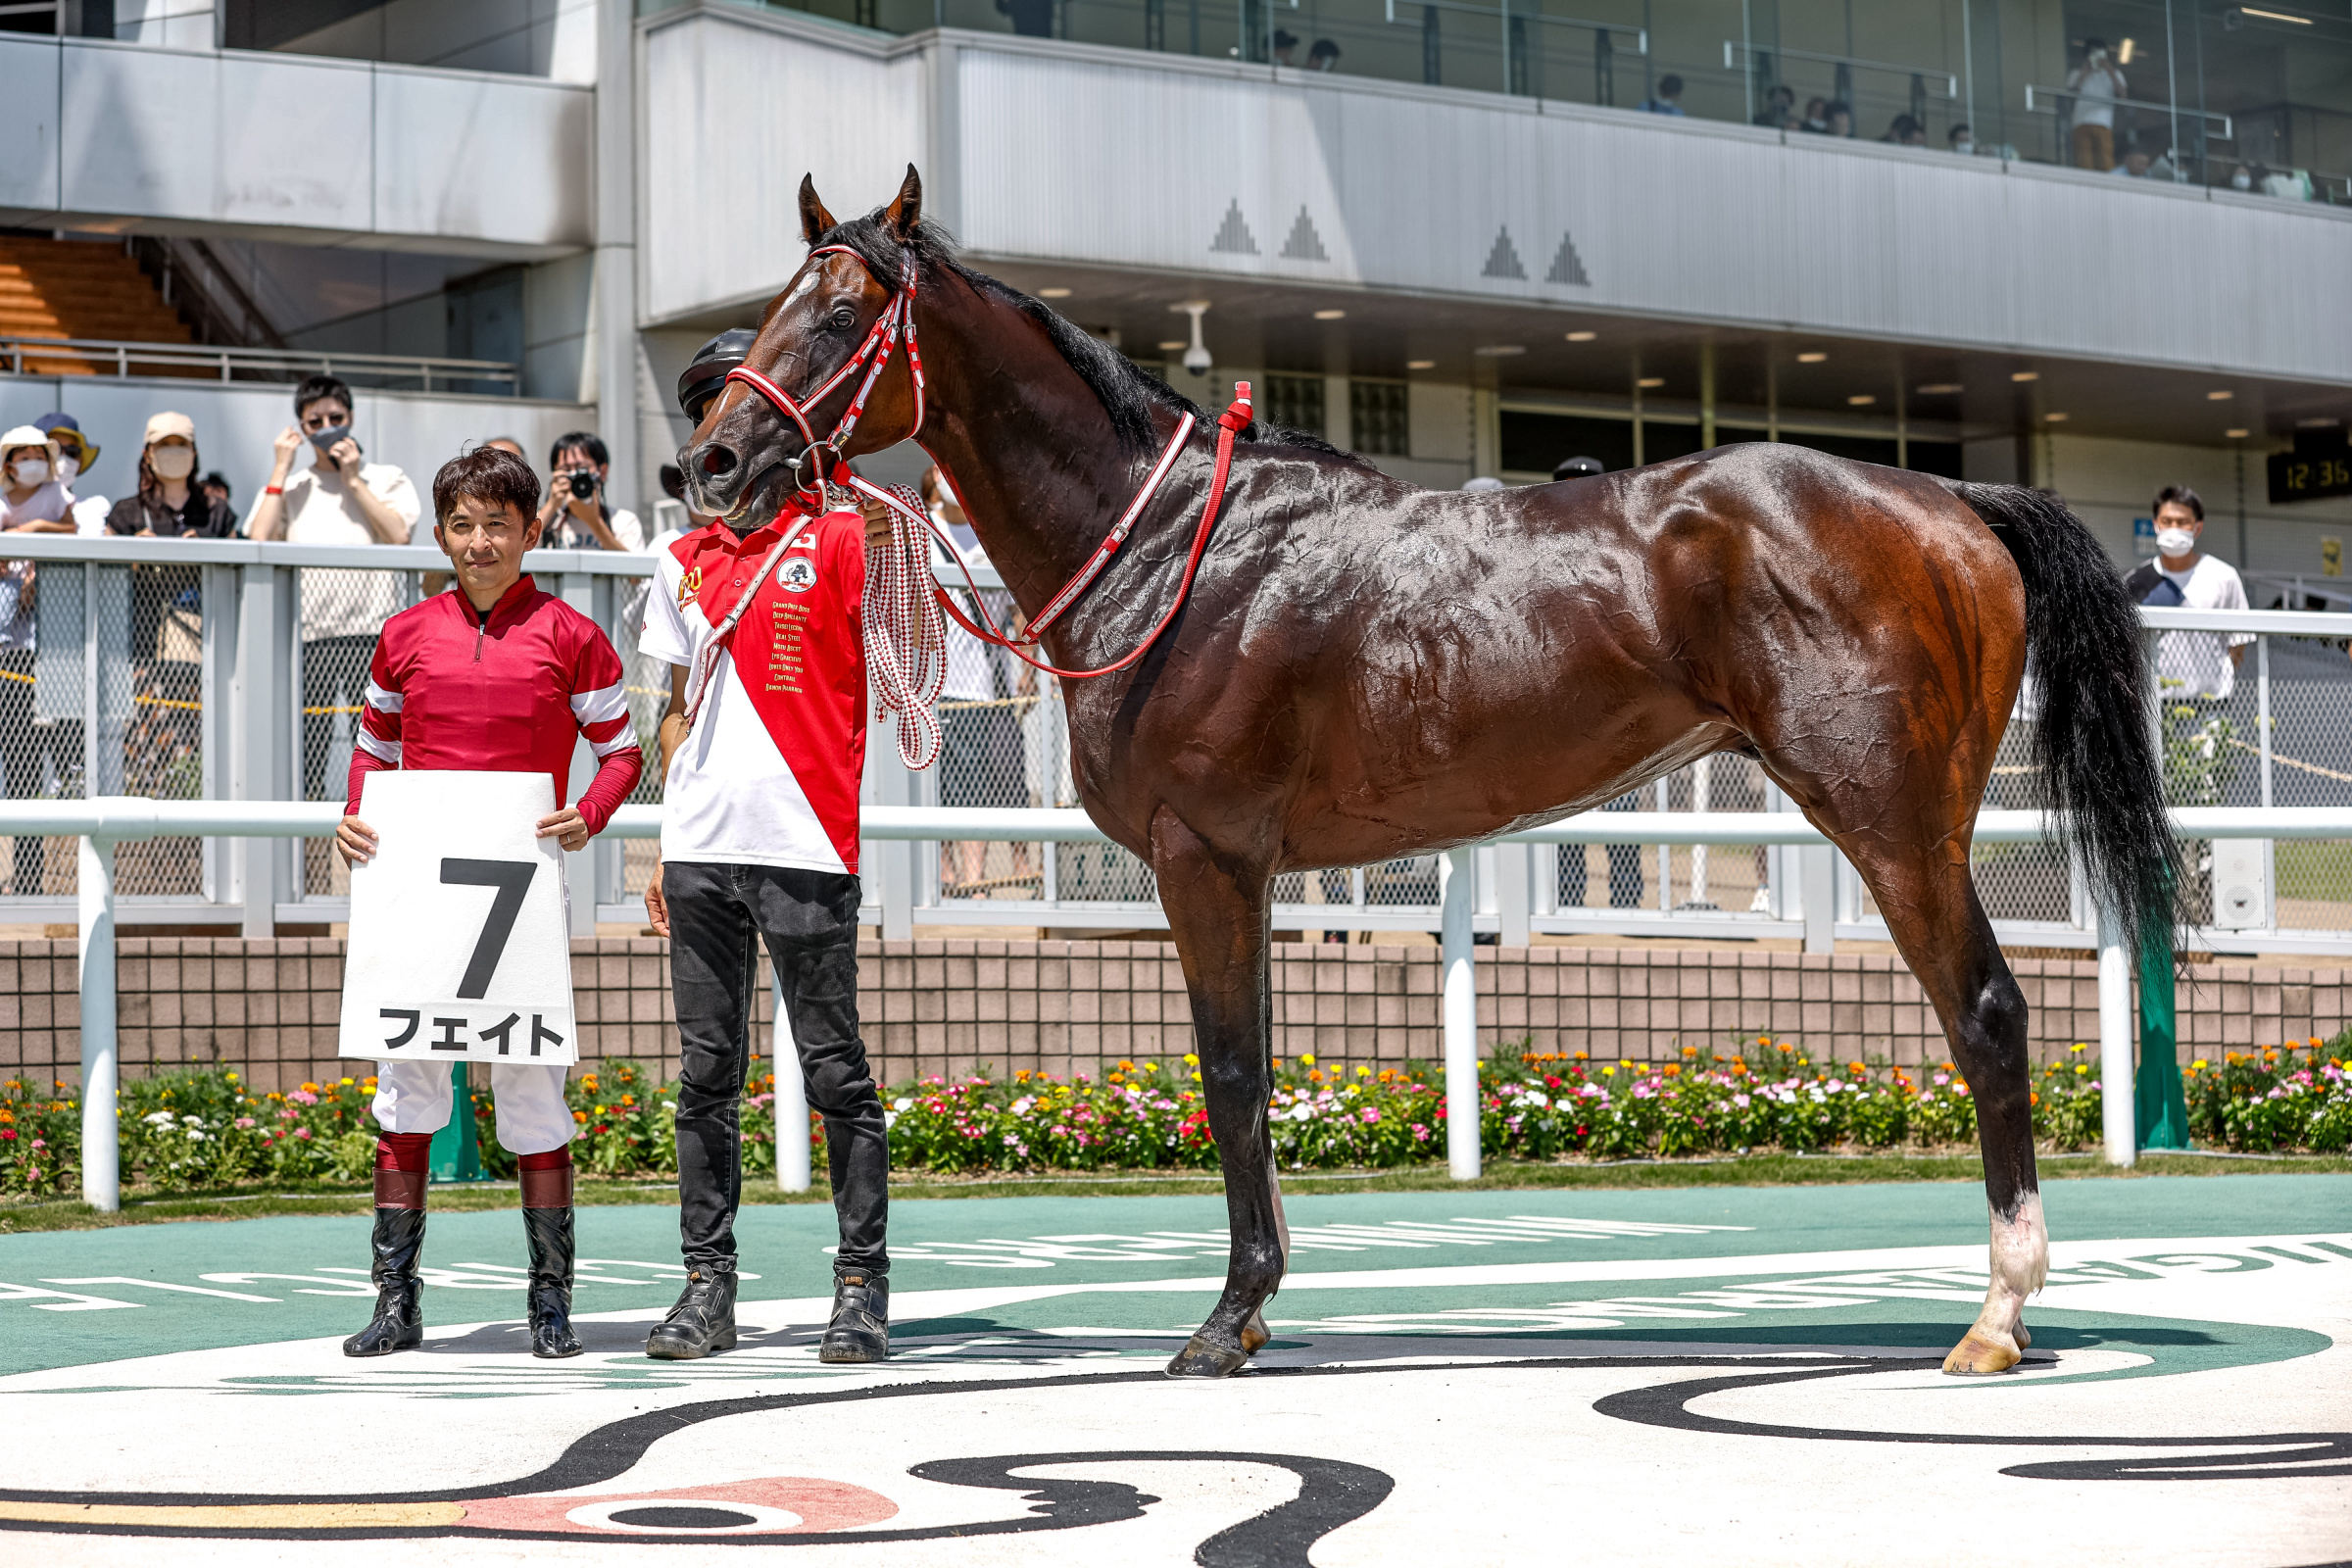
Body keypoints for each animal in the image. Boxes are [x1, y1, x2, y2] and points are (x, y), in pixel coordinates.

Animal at [682, 167, 2179, 1380]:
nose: (711, 463)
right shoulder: (1248, 871)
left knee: (1987, 1018)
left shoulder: (1202, 856)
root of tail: (1949, 500)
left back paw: (1997, 1317)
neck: (1166, 549)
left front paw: (1226, 1321)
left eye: (840, 317)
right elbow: (1254, 1070)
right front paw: (1259, 1305)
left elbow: (1232, 1075)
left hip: (1894, 822)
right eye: (776, 303)